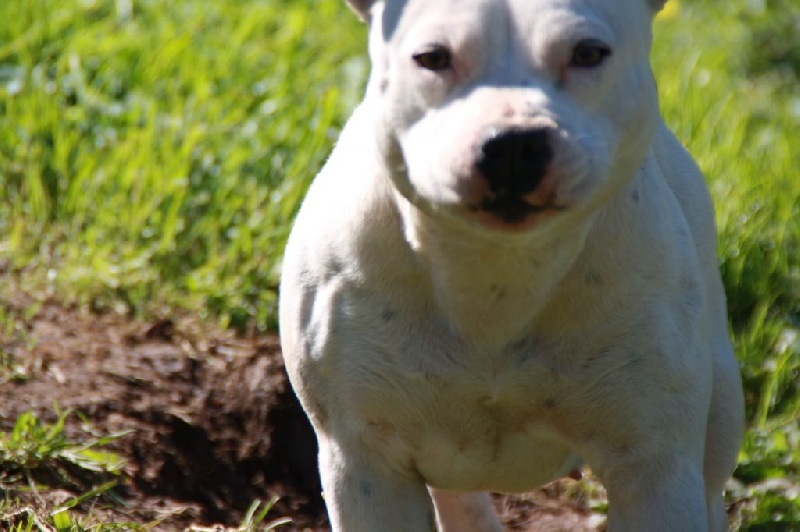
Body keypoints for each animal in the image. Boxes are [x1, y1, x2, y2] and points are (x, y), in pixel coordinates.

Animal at [279, 0, 745, 530]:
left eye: (588, 53)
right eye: (432, 57)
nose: (513, 145)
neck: (498, 271)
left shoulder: (655, 469)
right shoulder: (367, 466)